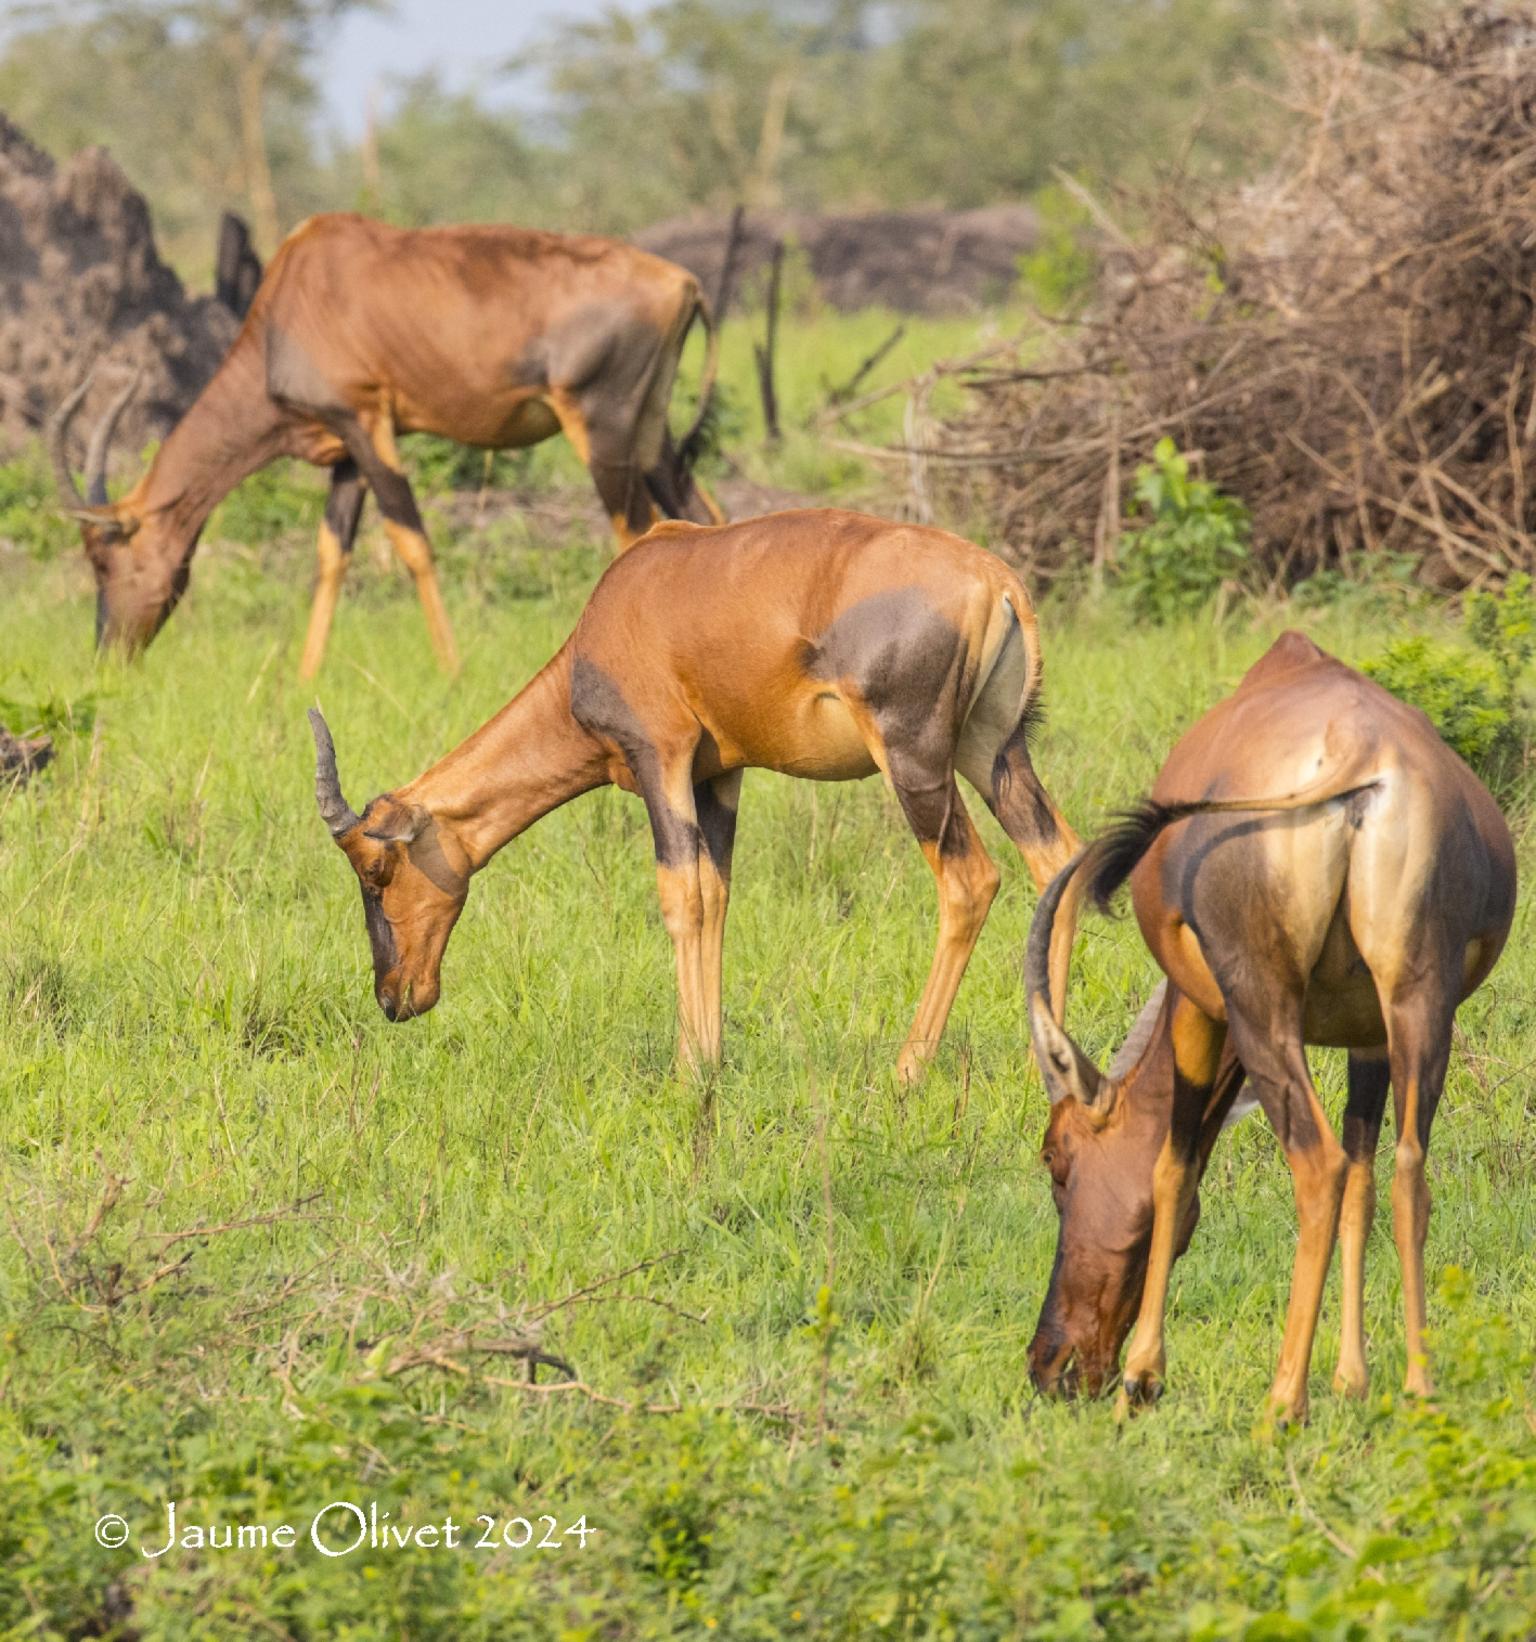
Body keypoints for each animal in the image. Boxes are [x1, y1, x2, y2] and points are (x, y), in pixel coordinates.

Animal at [48, 210, 719, 673]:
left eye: (103, 557)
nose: (108, 656)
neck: (295, 294)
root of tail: (682, 283)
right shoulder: (345, 448)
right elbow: (331, 552)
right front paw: (304, 678)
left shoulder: (367, 422)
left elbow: (411, 540)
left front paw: (451, 671)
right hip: (651, 431)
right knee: (699, 515)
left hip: (601, 426)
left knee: (635, 533)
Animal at [305, 509, 1084, 1077]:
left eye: (375, 870)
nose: (395, 998)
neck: (626, 601)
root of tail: (996, 581)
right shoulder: (718, 775)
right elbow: (716, 894)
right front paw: (707, 1057)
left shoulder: (661, 758)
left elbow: (681, 897)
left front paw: (686, 1071)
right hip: (992, 749)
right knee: (1058, 860)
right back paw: (1045, 1059)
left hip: (913, 756)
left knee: (969, 880)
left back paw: (907, 1070)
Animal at [1018, 633, 1511, 1431]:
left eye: (1057, 1158)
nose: (1051, 1367)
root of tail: (1360, 754)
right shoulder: (1369, 1038)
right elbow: (1365, 1178)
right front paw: (1352, 1380)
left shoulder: (1199, 1008)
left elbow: (1174, 1171)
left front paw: (1142, 1379)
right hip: (1420, 1002)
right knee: (1406, 1170)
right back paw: (1419, 1389)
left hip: (1259, 1007)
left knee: (1318, 1166)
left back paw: (1282, 1405)